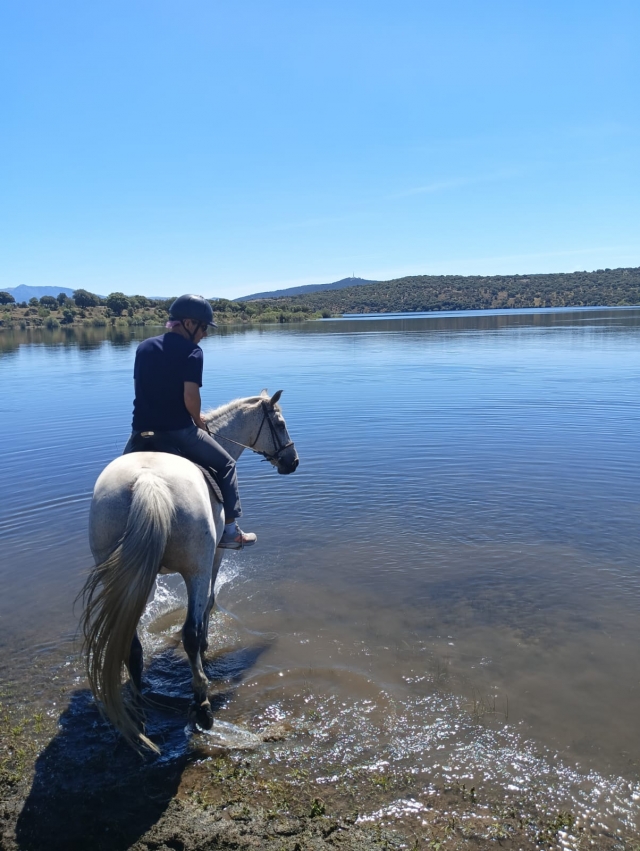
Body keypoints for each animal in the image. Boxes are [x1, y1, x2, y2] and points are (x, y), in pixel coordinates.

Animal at [80, 390, 299, 751]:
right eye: (279, 424)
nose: (292, 462)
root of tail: (148, 481)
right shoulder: (214, 558)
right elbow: (208, 604)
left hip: (127, 573)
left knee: (131, 642)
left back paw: (140, 711)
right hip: (196, 565)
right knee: (189, 634)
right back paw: (202, 707)